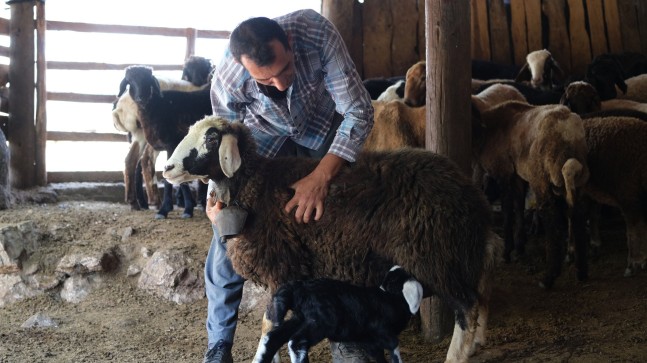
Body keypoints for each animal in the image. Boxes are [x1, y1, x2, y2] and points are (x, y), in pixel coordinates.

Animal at [117, 65, 214, 219]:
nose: (142, 97)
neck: (158, 107)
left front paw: (168, 209)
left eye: (148, 80)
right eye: (130, 81)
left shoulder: (172, 144)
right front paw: (185, 207)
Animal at [253, 264, 426, 363]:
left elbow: (379, 357)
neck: (389, 297)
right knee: (296, 342)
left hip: (300, 318)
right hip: (321, 322)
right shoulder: (386, 334)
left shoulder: (370, 342)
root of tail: (299, 288)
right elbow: (394, 353)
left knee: (272, 338)